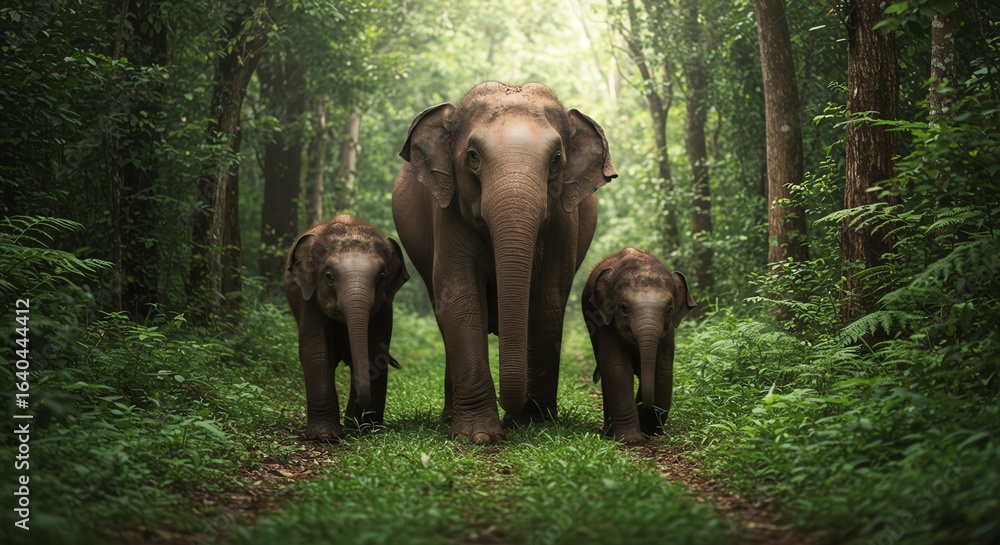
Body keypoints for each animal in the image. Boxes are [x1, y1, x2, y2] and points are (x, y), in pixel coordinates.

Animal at [284, 214, 409, 440]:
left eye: (381, 278)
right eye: (329, 277)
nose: (357, 405)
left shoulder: (385, 305)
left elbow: (374, 351)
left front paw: (363, 428)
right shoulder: (308, 298)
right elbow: (316, 352)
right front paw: (324, 436)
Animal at [392, 81, 617, 444]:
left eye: (556, 159)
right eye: (472, 156)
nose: (508, 410)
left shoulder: (564, 220)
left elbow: (547, 301)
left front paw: (532, 423)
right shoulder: (447, 211)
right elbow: (460, 300)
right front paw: (478, 435)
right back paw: (448, 417)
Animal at [582, 248, 696, 444]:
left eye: (669, 309)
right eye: (624, 308)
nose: (643, 405)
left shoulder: (668, 331)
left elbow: (662, 368)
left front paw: (650, 431)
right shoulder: (604, 320)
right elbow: (617, 367)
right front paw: (631, 440)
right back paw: (608, 431)